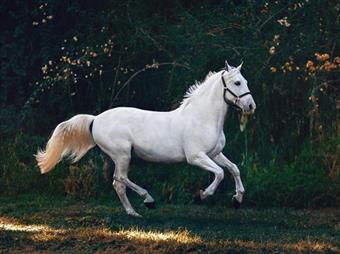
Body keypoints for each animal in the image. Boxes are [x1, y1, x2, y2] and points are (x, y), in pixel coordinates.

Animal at [36, 61, 255, 216]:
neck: (202, 117)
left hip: (121, 157)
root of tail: (95, 119)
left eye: (245, 81)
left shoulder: (215, 154)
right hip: (123, 155)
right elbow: (220, 173)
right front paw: (201, 196)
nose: (251, 106)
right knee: (120, 179)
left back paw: (133, 212)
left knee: (118, 183)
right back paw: (148, 201)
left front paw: (238, 199)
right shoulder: (196, 157)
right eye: (237, 83)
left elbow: (234, 169)